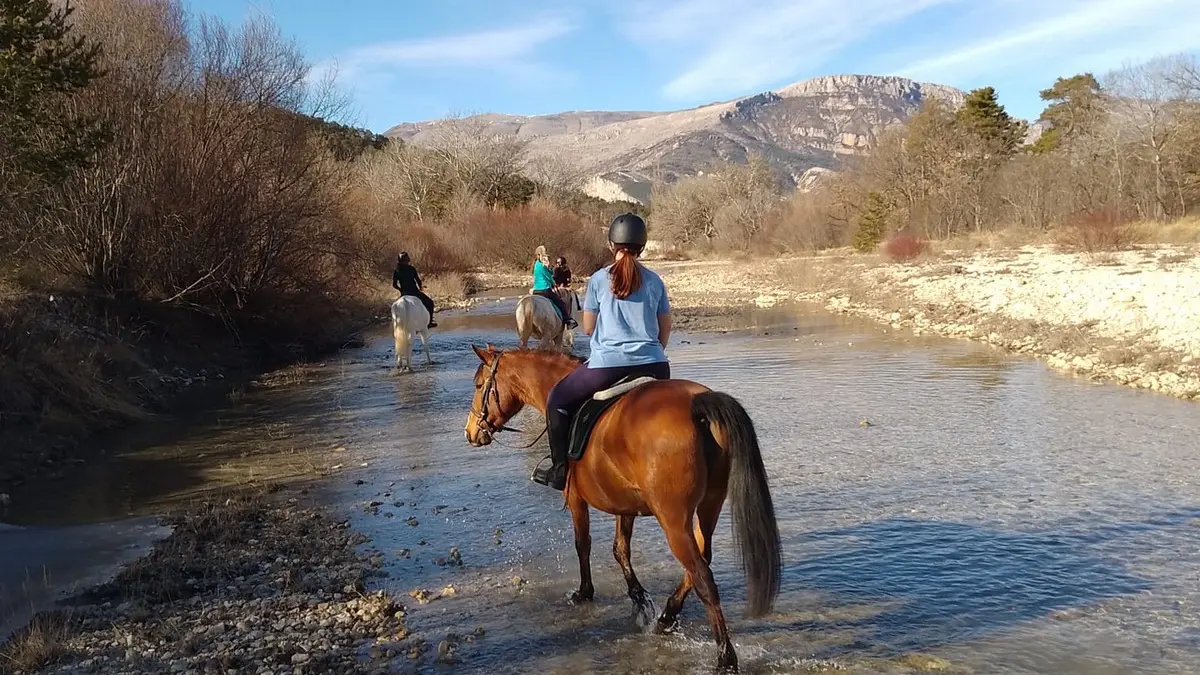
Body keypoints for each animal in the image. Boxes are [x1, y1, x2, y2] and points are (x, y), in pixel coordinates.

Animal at [458, 343, 777, 667]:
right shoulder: (625, 505)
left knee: (703, 577)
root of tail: (697, 404)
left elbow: (582, 543)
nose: (470, 432)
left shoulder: (575, 498)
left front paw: (585, 592)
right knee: (701, 558)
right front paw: (638, 598)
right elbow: (620, 549)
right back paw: (667, 617)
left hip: (673, 519)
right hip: (710, 505)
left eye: (479, 385)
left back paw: (725, 657)